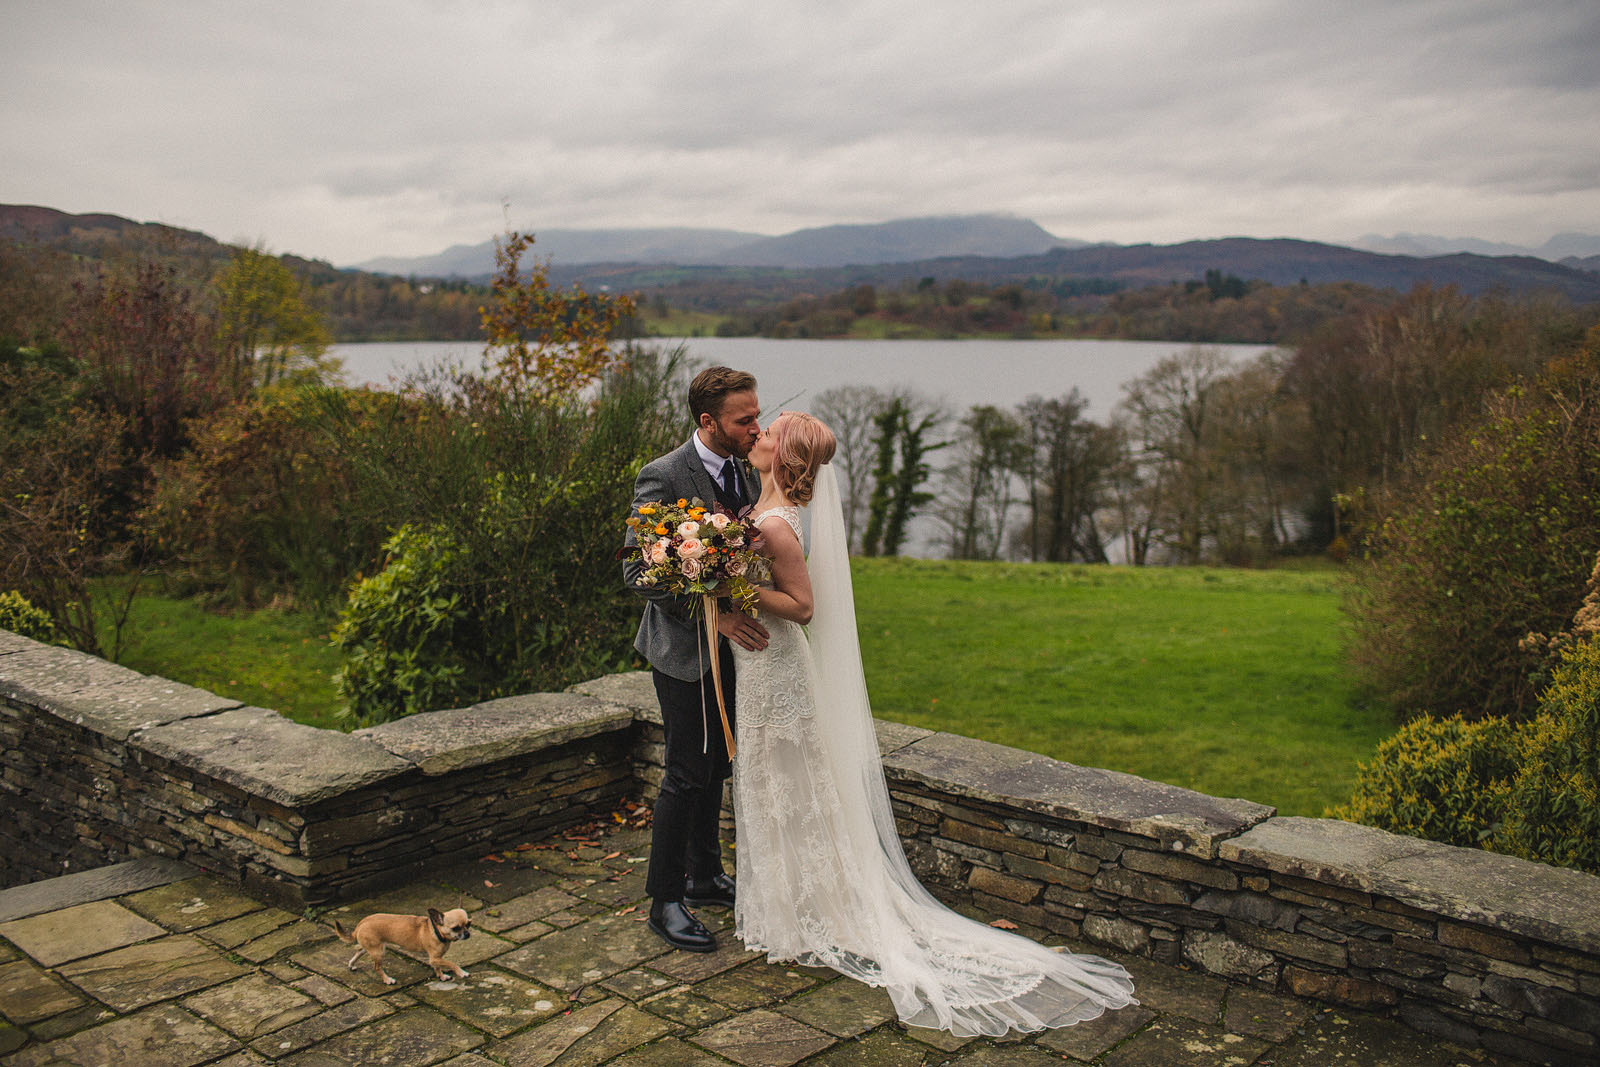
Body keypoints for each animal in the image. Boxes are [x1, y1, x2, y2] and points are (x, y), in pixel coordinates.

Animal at [331, 908, 467, 991]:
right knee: (377, 967)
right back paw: (387, 980)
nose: (467, 933)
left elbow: (438, 968)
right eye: (456, 928)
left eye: (468, 924)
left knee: (358, 952)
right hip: (379, 952)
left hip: (370, 948)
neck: (436, 930)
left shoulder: (435, 959)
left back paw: (351, 965)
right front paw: (461, 972)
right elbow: (452, 963)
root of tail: (360, 924)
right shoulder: (434, 958)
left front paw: (442, 976)